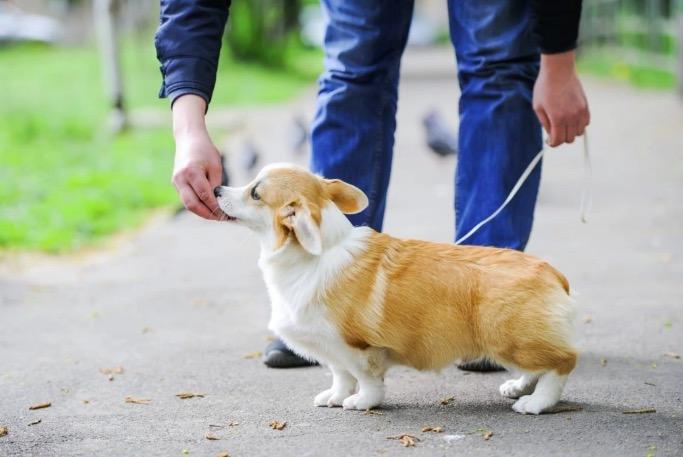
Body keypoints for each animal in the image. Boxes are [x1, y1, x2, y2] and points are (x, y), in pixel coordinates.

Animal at [214, 163, 577, 415]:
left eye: (255, 193)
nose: (217, 188)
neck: (311, 256)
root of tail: (552, 273)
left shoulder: (357, 347)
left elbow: (366, 379)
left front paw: (362, 402)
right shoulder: (331, 348)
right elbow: (339, 375)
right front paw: (335, 397)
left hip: (507, 338)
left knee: (562, 362)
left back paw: (536, 403)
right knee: (537, 367)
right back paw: (518, 386)